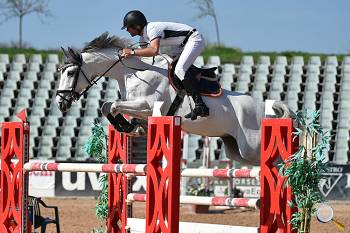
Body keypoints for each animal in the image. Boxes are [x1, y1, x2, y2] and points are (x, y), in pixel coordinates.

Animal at [56, 32, 292, 166]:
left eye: (70, 73)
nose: (60, 102)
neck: (132, 72)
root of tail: (266, 107)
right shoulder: (140, 108)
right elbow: (109, 106)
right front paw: (132, 127)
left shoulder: (148, 106)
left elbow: (111, 105)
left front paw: (125, 126)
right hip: (235, 149)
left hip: (251, 147)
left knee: (279, 159)